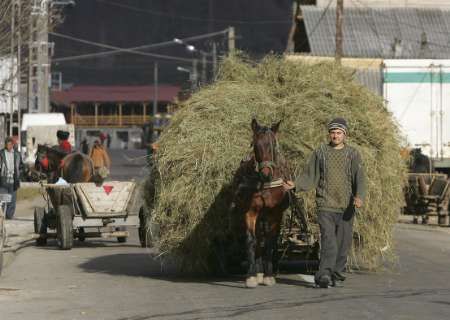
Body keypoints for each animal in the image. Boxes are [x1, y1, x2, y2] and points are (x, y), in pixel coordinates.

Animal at [234, 119, 290, 288]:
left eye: (273, 146)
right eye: (256, 146)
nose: (266, 173)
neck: (264, 184)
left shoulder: (275, 213)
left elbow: (271, 241)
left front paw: (269, 275)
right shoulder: (250, 210)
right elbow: (251, 240)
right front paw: (251, 275)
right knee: (259, 239)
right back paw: (259, 271)